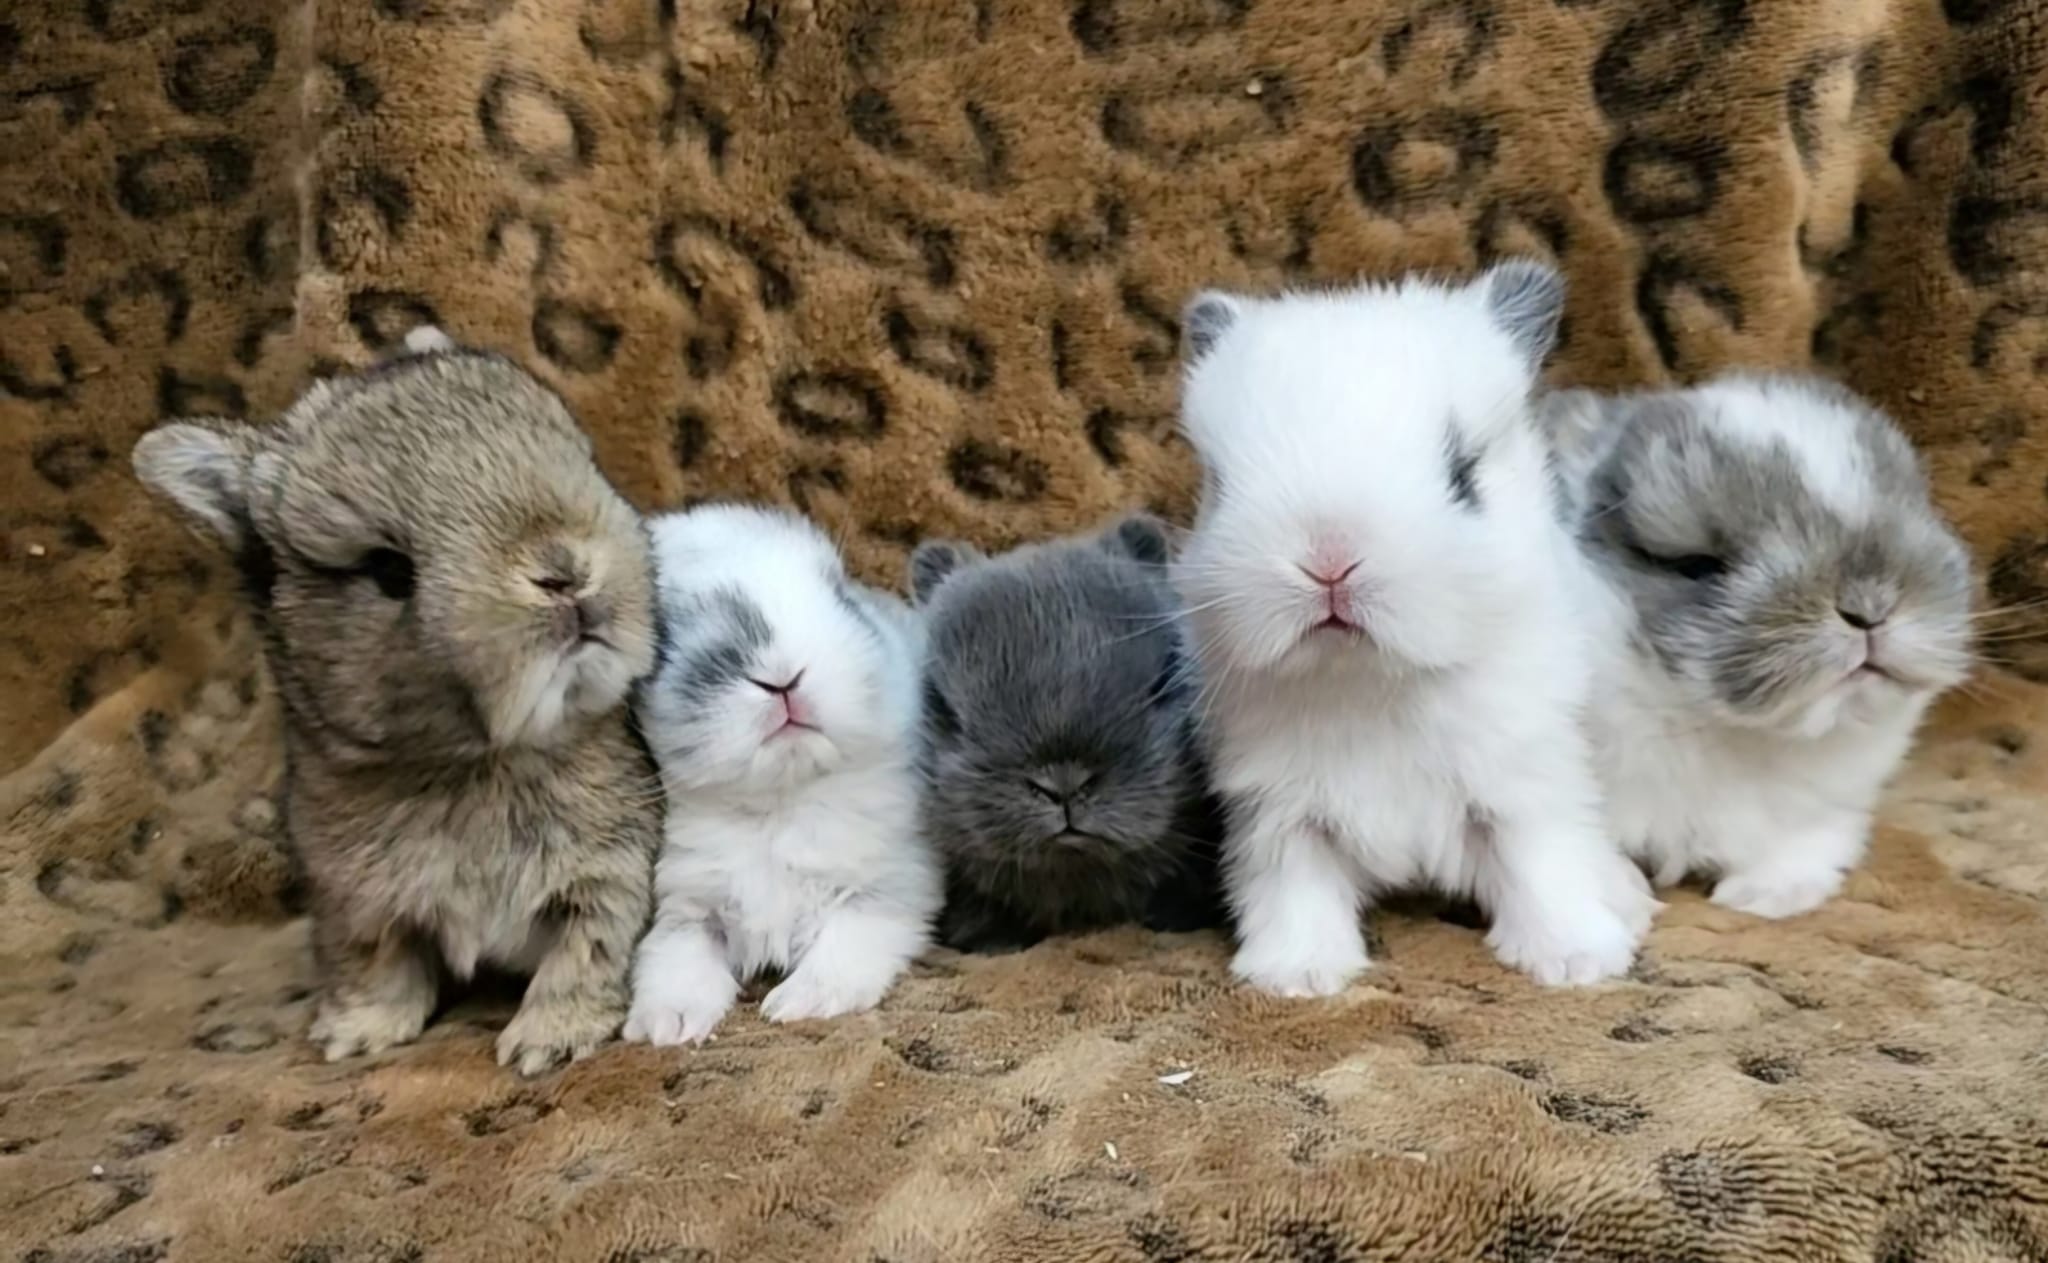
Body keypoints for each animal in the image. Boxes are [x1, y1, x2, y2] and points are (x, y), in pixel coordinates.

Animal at [131, 327, 662, 1076]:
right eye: (386, 569)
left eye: (585, 462)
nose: (565, 573)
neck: (475, 764)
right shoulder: (357, 904)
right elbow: (376, 966)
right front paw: (356, 1035)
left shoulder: (610, 879)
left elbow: (584, 956)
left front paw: (546, 1043)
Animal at [623, 503, 939, 1045]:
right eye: (662, 641)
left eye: (842, 596)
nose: (783, 678)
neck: (781, 802)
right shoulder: (688, 906)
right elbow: (672, 956)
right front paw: (667, 1025)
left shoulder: (889, 886)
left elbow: (849, 945)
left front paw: (800, 1003)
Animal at [1172, 261, 1656, 996]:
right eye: (1219, 485)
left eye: (1463, 476)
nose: (1329, 560)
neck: (1373, 682)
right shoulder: (1280, 812)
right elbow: (1294, 888)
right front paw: (1298, 974)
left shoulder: (1522, 783)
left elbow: (1544, 862)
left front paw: (1575, 960)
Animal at [1538, 372, 1975, 918]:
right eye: (1696, 565)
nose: (1869, 607)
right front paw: (1623, 900)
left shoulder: (1827, 809)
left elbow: (1806, 845)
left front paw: (1765, 898)